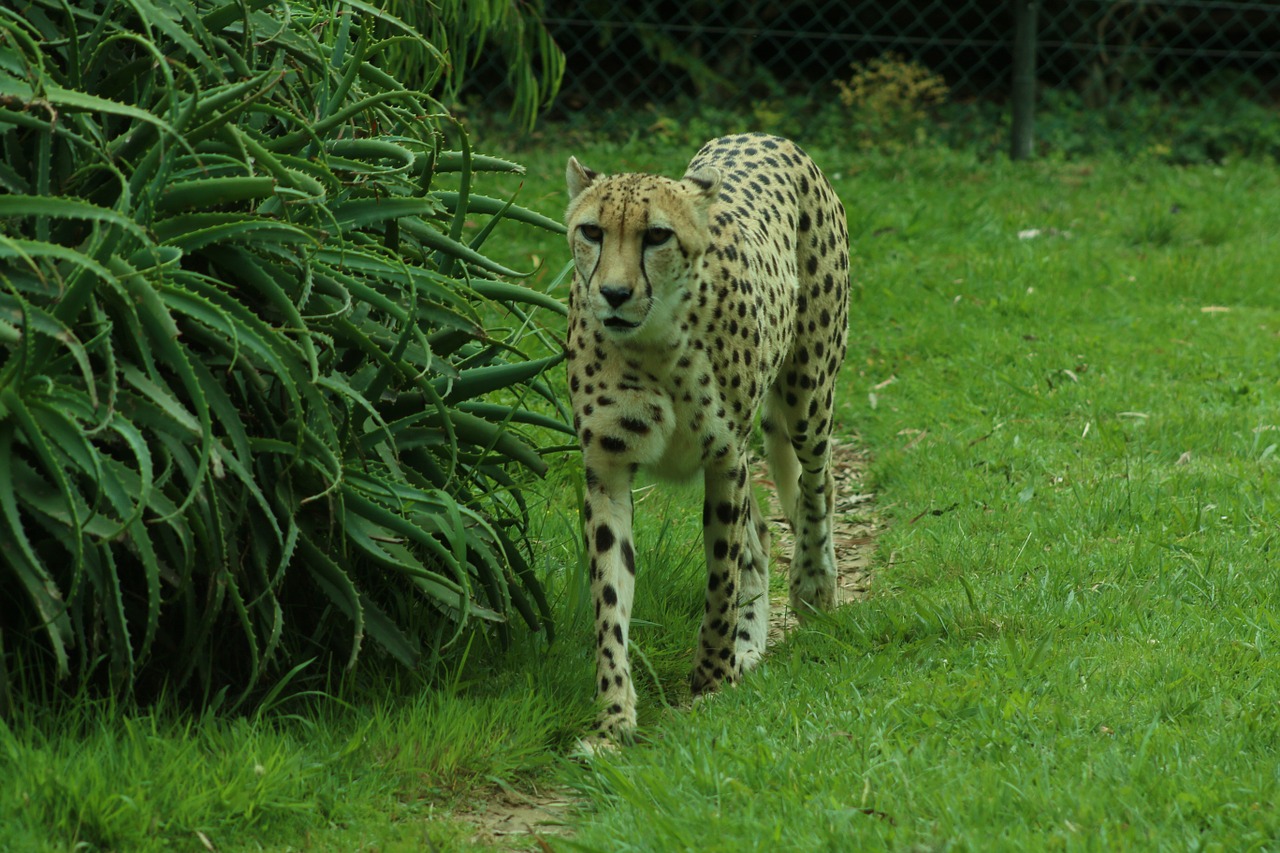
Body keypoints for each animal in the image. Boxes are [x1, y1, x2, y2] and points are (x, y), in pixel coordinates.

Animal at [568, 131, 849, 737]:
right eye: (592, 231)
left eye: (656, 235)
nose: (614, 294)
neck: (652, 343)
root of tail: (763, 135)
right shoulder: (606, 471)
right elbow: (610, 599)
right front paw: (613, 717)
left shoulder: (725, 458)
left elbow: (721, 573)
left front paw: (712, 675)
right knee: (762, 533)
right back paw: (751, 642)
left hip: (807, 391)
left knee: (815, 486)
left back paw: (814, 584)